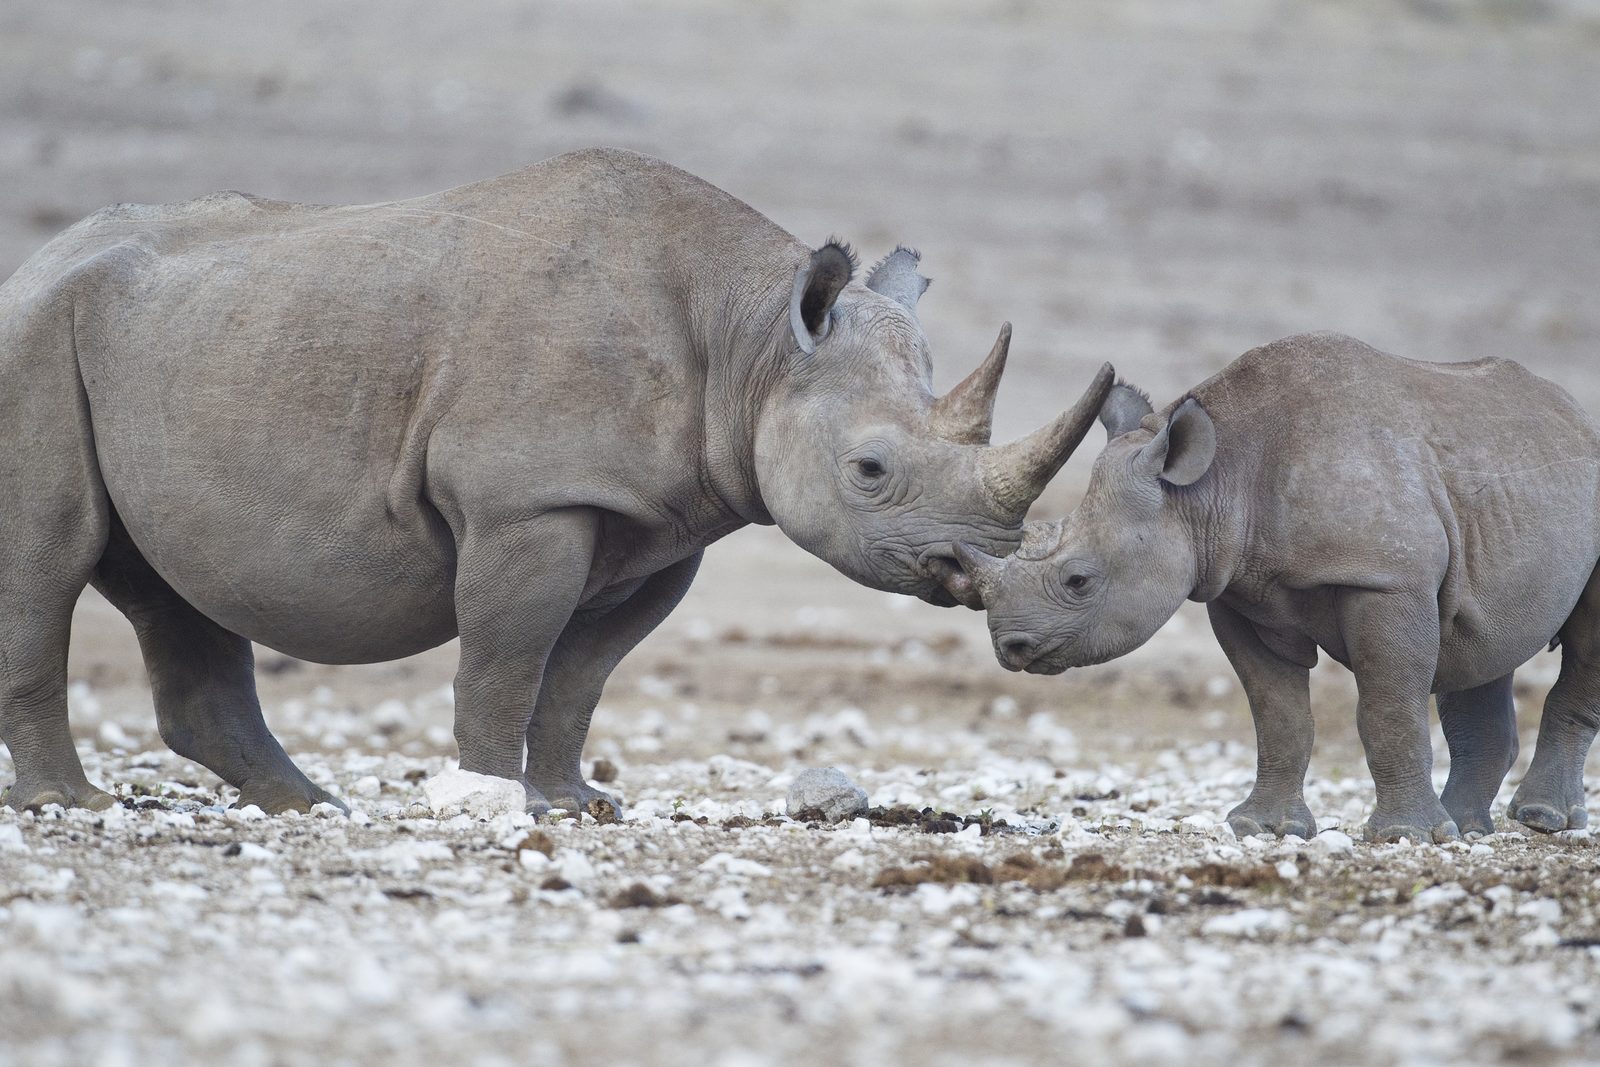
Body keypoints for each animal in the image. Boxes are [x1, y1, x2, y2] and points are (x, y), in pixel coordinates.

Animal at [0, 147, 1114, 815]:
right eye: (870, 470)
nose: (972, 569)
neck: (752, 340)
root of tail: (34, 263)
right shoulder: (526, 500)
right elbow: (506, 657)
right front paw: (495, 799)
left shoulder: (661, 524)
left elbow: (580, 674)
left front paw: (576, 805)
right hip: (35, 335)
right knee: (50, 556)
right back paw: (70, 805)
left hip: (172, 341)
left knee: (168, 581)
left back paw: (312, 807)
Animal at [953, 332, 1600, 842]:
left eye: (1078, 580)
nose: (1009, 648)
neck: (1210, 485)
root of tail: (1574, 415)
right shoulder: (1237, 592)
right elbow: (1277, 713)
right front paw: (1263, 828)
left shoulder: (1386, 580)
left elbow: (1387, 708)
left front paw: (1404, 836)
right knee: (1478, 646)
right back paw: (1465, 828)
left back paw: (1539, 821)